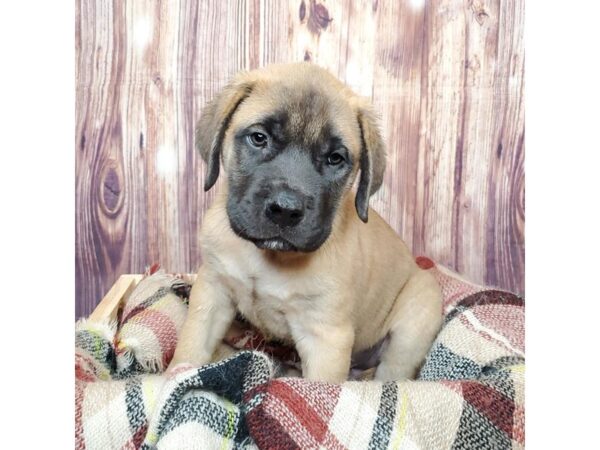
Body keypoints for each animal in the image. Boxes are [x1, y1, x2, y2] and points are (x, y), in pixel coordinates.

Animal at [171, 61, 442, 382]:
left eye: (335, 158)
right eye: (259, 138)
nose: (285, 211)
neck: (267, 257)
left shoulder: (325, 337)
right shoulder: (212, 292)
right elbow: (190, 347)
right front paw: (173, 377)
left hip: (416, 317)